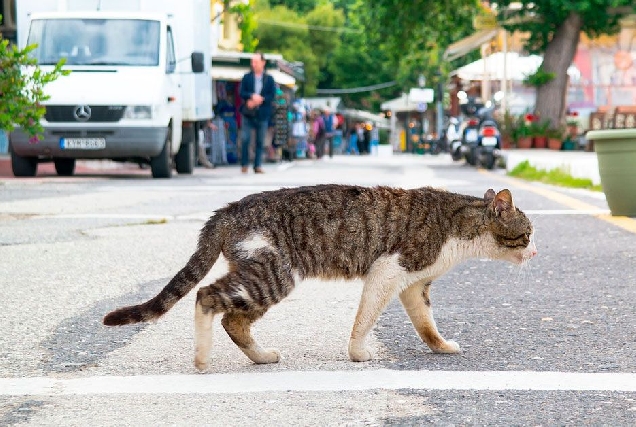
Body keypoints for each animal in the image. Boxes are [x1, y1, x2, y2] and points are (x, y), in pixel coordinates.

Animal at [105, 186, 536, 372]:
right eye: (529, 233)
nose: (535, 253)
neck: (460, 228)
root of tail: (226, 210)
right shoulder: (389, 269)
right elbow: (364, 319)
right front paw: (358, 353)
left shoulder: (415, 286)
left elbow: (426, 324)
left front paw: (441, 347)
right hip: (273, 275)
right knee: (207, 297)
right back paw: (201, 358)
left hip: (260, 276)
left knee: (233, 320)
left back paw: (261, 356)